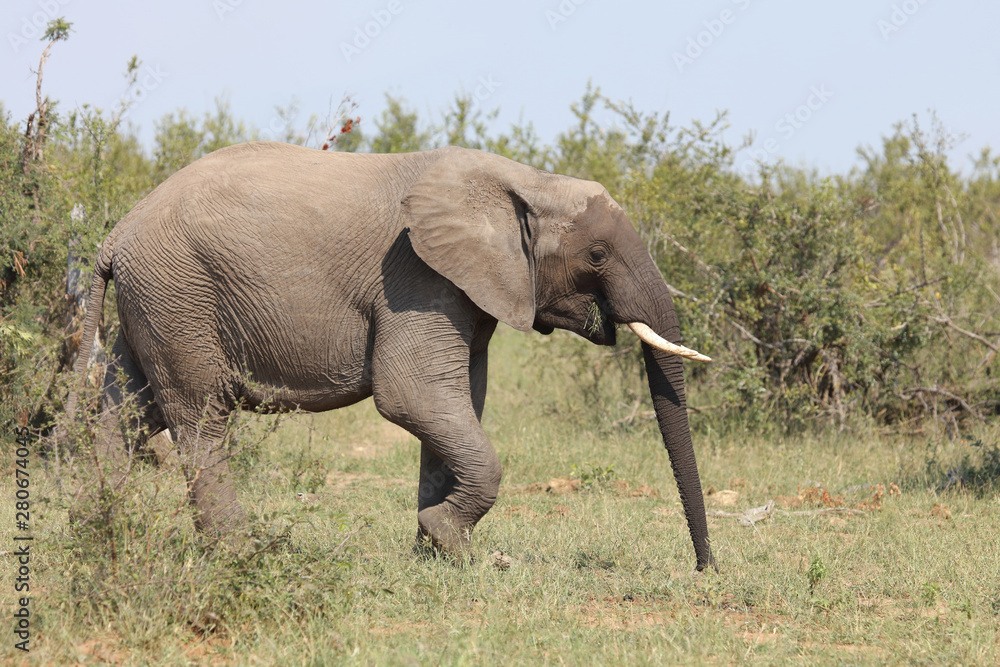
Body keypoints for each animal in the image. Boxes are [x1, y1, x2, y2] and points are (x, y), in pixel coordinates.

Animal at [66, 141, 716, 571]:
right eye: (598, 255)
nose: (705, 570)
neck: (525, 181)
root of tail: (115, 233)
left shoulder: (462, 288)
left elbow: (458, 404)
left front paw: (435, 555)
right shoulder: (416, 276)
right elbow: (413, 397)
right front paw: (450, 542)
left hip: (154, 302)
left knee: (127, 411)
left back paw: (103, 534)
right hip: (181, 293)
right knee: (199, 415)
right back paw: (235, 553)